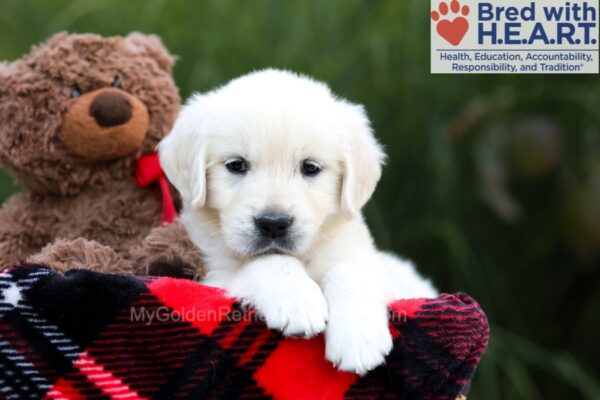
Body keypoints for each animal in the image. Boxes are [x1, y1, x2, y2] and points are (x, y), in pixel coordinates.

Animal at [158, 69, 436, 376]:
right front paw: (297, 301)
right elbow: (270, 260)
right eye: (236, 165)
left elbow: (349, 271)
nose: (273, 224)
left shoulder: (374, 267)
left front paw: (358, 339)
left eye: (310, 168)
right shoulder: (212, 275)